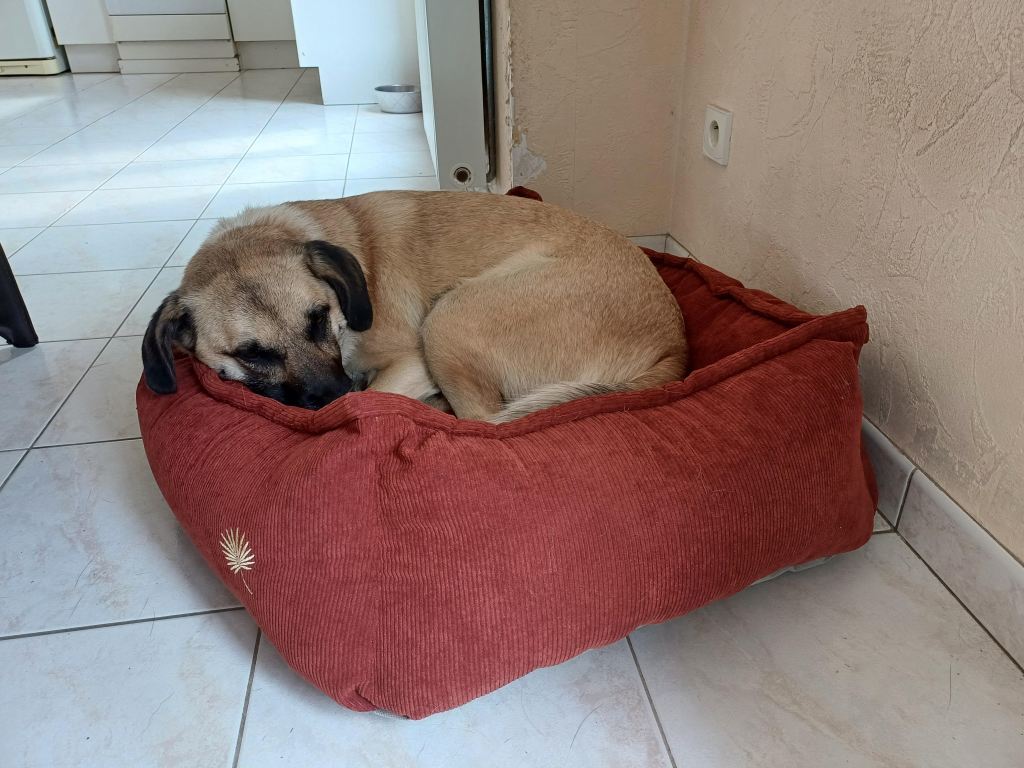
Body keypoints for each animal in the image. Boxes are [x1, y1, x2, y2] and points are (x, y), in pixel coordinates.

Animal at [142, 191, 686, 422]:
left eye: (319, 318)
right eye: (251, 354)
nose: (334, 395)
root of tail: (675, 347)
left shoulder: (408, 362)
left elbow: (372, 397)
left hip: (448, 318)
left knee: (483, 421)